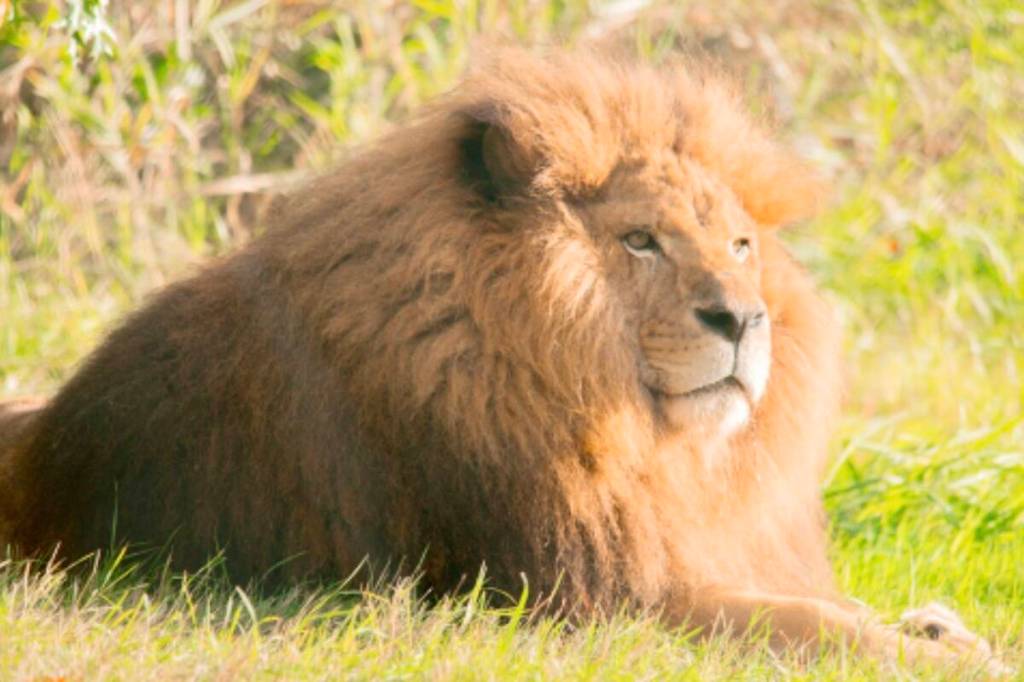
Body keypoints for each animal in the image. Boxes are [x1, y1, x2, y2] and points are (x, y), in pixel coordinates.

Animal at [0, 48, 1001, 671]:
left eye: (742, 244)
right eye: (640, 241)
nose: (743, 320)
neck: (644, 444)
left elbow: (838, 609)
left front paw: (942, 628)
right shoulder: (585, 598)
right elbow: (806, 625)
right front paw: (944, 658)